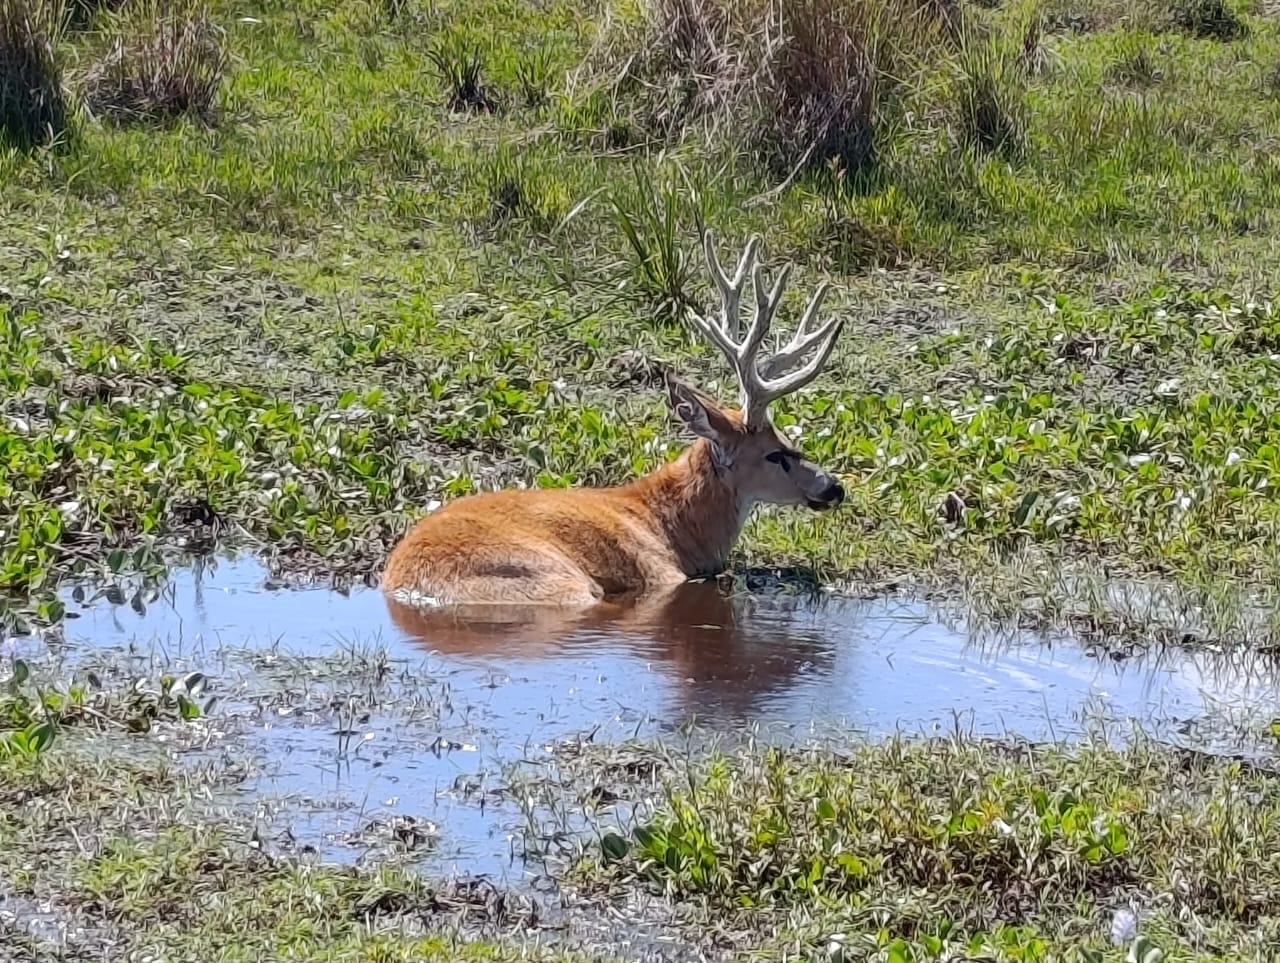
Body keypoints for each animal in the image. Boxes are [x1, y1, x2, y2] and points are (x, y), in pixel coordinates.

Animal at [381, 228, 848, 609]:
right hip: (556, 580)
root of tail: (405, 584)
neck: (670, 524)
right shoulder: (662, 574)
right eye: (776, 454)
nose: (834, 487)